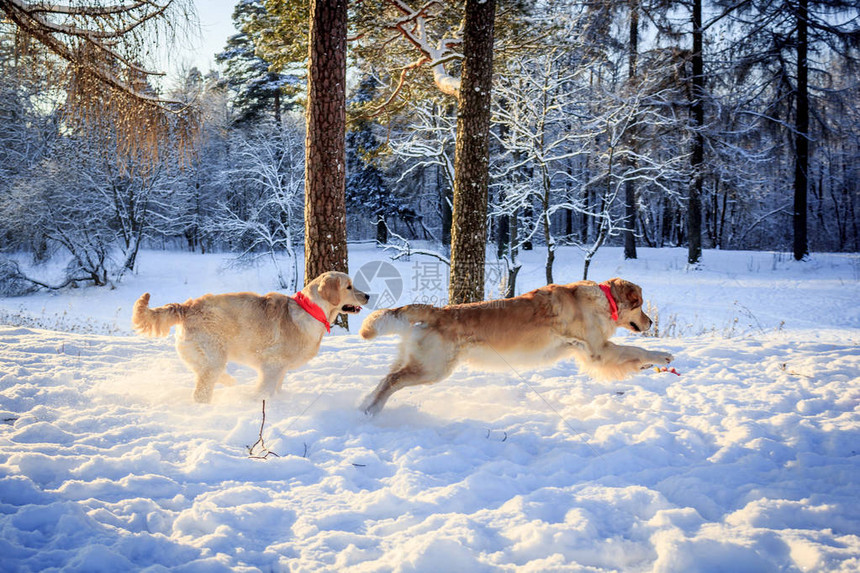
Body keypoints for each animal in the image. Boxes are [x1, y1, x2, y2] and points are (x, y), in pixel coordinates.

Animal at [133, 272, 368, 402]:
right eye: (349, 286)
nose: (367, 295)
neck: (311, 309)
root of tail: (186, 306)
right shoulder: (272, 365)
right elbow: (264, 391)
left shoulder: (280, 369)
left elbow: (276, 389)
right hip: (214, 357)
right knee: (201, 393)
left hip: (204, 358)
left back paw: (230, 382)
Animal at [360, 278, 676, 416]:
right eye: (641, 306)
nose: (650, 322)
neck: (603, 300)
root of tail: (439, 310)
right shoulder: (598, 350)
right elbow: (634, 350)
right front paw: (660, 355)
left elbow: (632, 354)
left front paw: (650, 362)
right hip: (432, 369)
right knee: (392, 380)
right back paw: (369, 410)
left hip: (418, 361)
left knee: (386, 378)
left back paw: (366, 405)